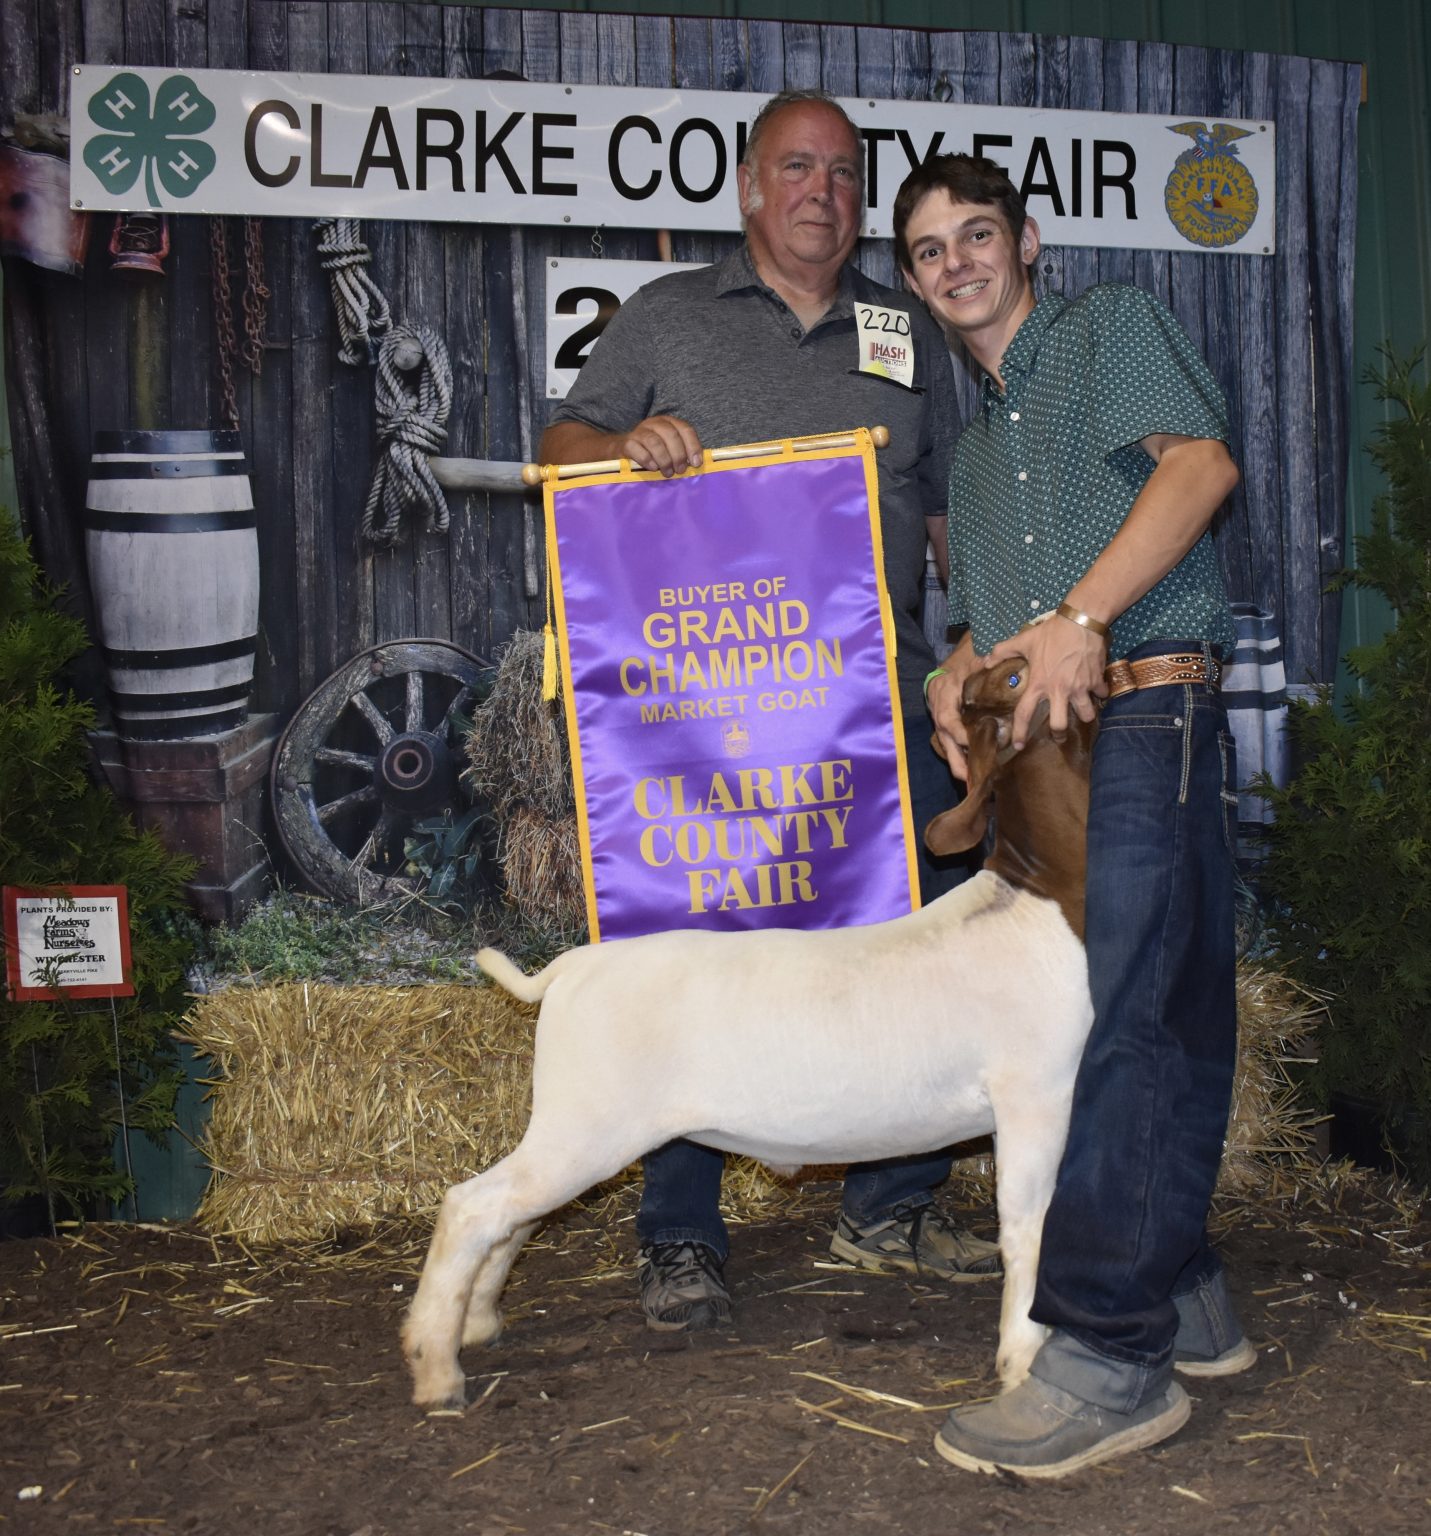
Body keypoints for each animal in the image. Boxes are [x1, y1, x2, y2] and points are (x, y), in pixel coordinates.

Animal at [402, 654, 1093, 1406]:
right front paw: (1021, 1360)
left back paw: (478, 1324)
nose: (1097, 655)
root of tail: (570, 969)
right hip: (586, 1122)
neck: (1036, 900)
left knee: (513, 1219)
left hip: (572, 1126)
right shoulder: (1035, 1094)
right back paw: (436, 1371)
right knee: (473, 1207)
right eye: (1019, 678)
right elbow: (1029, 1229)